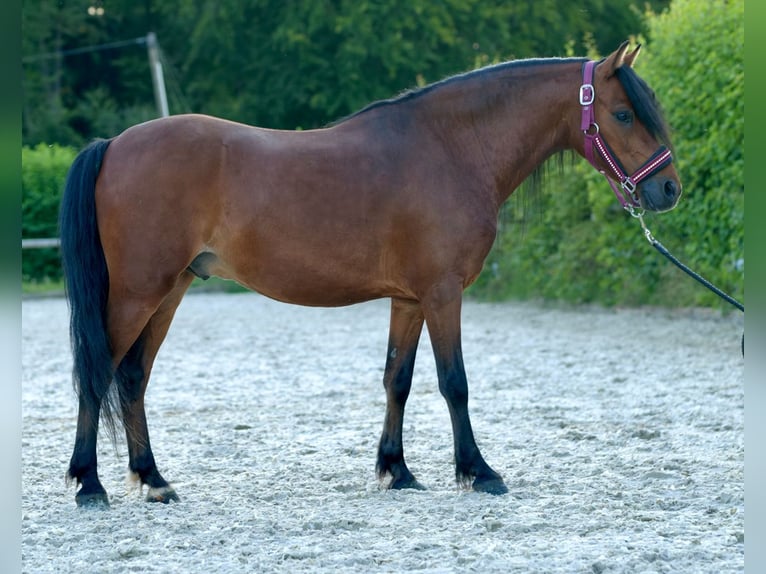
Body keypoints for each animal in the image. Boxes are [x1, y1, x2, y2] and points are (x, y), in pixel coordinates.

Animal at [61, 41, 684, 508]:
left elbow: (397, 380)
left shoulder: (409, 300)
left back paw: (154, 480)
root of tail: (114, 144)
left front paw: (397, 471)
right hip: (138, 293)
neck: (451, 148)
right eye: (623, 113)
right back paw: (90, 484)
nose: (668, 189)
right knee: (98, 373)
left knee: (133, 377)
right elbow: (454, 382)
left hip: (169, 291)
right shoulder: (443, 294)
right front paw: (478, 472)